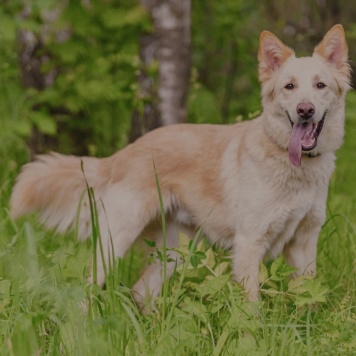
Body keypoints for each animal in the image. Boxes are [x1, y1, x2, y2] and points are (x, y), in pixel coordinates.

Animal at [10, 25, 350, 304]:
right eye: (289, 87)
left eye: (320, 86)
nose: (305, 110)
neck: (293, 166)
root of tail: (125, 153)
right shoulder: (249, 243)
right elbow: (251, 308)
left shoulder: (305, 243)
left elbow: (308, 298)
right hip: (115, 242)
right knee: (87, 289)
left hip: (175, 254)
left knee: (140, 293)